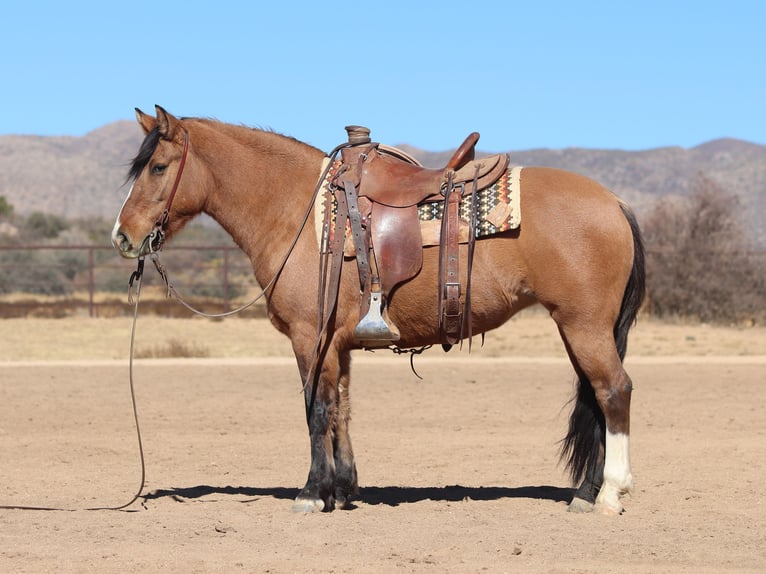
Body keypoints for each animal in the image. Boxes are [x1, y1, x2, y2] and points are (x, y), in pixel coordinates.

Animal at [111, 107, 644, 516]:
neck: (296, 212)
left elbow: (316, 410)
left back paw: (610, 494)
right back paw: (585, 493)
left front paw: (311, 493)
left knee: (613, 391)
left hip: (584, 326)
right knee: (596, 396)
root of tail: (615, 202)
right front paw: (344, 490)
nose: (123, 236)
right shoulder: (338, 343)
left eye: (157, 167)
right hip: (578, 329)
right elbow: (342, 409)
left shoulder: (309, 337)